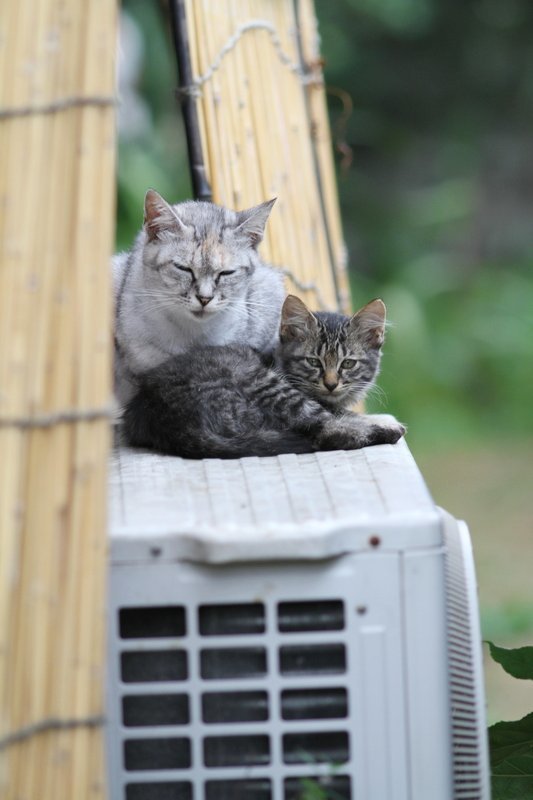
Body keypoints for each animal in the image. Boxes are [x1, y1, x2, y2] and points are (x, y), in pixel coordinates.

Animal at [120, 294, 404, 460]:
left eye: (348, 363)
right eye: (313, 362)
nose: (331, 384)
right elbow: (341, 414)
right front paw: (380, 421)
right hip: (263, 382)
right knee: (326, 432)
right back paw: (385, 432)